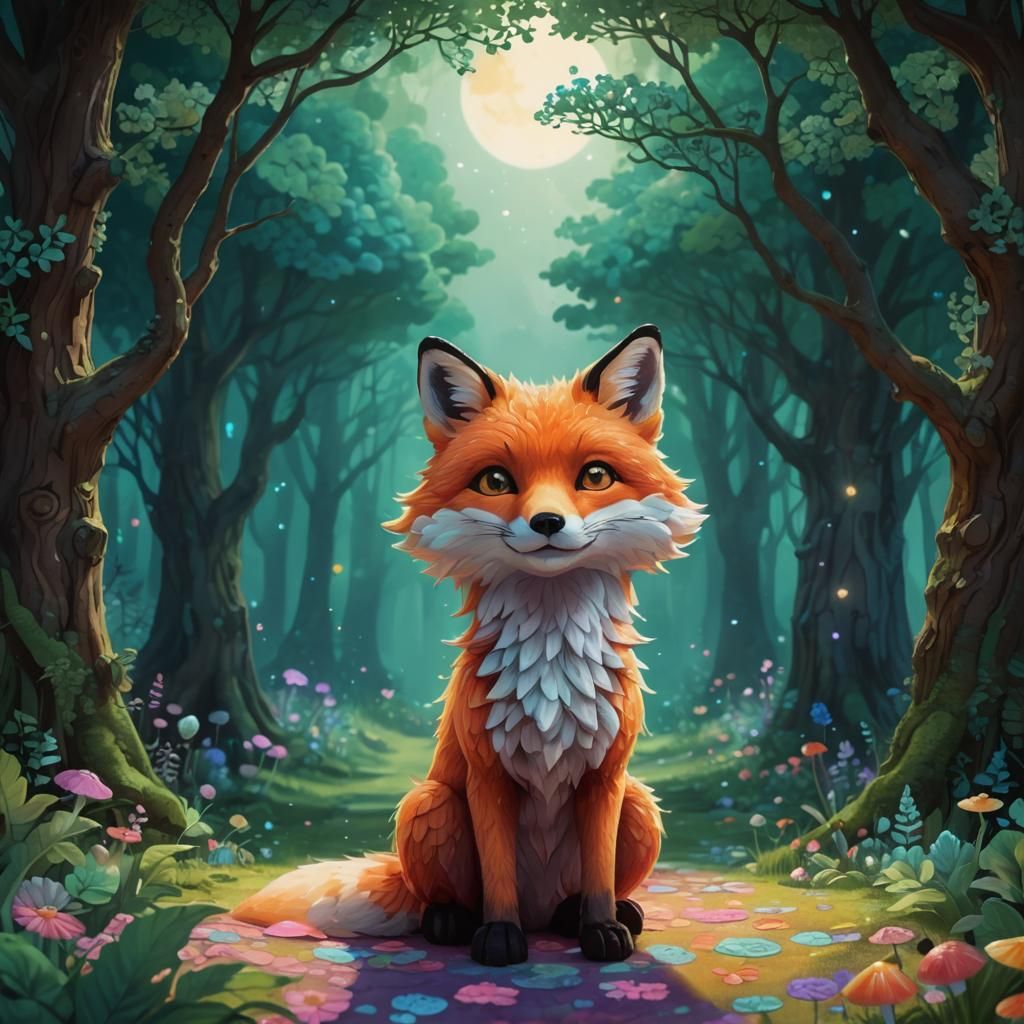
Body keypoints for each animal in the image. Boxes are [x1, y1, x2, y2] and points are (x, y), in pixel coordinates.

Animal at [234, 325, 706, 965]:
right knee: (441, 897)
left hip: (639, 803)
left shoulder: (606, 777)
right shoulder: (488, 774)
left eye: (595, 476)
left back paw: (593, 916)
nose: (548, 523)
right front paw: (500, 938)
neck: (550, 667)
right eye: (496, 482)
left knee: (581, 891)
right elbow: (498, 873)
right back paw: (455, 922)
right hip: (429, 804)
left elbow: (599, 879)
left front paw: (602, 930)